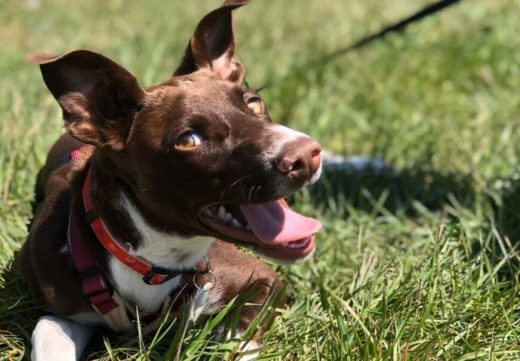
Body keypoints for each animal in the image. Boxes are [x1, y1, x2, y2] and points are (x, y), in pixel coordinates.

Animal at [21, 1, 320, 358]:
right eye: (188, 139)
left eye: (255, 103)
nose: (307, 155)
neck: (152, 261)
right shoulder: (64, 308)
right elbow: (47, 331)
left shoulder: (262, 280)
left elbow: (233, 338)